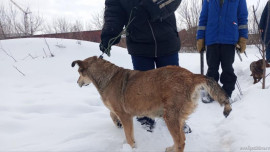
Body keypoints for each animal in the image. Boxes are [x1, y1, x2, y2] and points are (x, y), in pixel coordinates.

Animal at [71, 56, 232, 152]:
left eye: (79, 73)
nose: (77, 83)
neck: (107, 78)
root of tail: (192, 76)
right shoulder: (119, 111)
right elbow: (112, 114)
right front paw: (117, 123)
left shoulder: (125, 115)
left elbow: (129, 136)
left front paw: (131, 147)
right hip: (176, 118)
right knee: (181, 139)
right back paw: (171, 148)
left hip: (170, 117)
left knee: (181, 142)